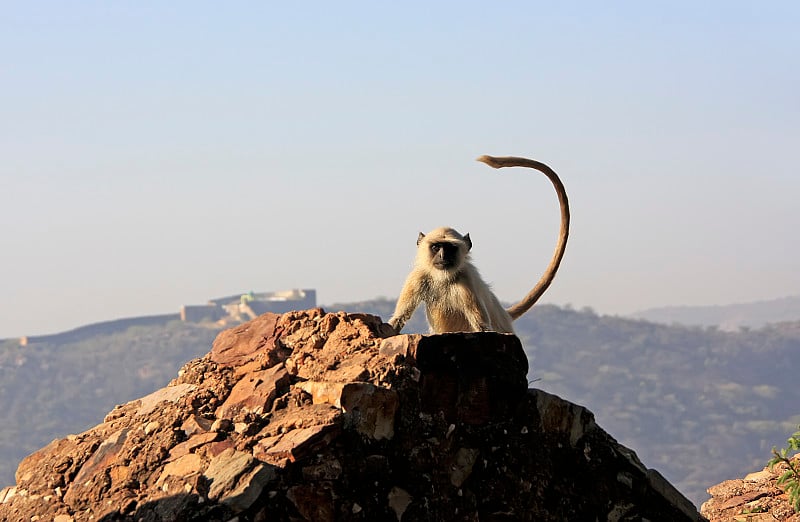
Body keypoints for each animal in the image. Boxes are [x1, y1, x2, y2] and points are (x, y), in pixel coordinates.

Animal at [388, 154, 568, 334]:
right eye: (436, 247)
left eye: (450, 248)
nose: (442, 256)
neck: (443, 279)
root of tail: (504, 314)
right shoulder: (417, 277)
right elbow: (398, 320)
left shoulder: (466, 282)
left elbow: (483, 327)